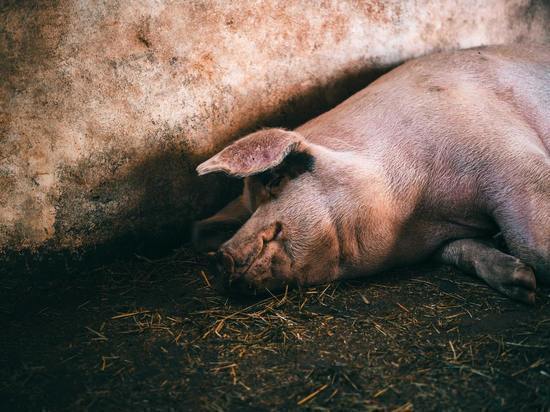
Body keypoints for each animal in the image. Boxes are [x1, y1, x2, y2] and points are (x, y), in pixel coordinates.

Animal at [194, 44, 550, 302]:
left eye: (275, 180)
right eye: (248, 210)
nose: (219, 257)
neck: (420, 210)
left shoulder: (508, 156)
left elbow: (533, 245)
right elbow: (461, 250)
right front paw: (523, 282)